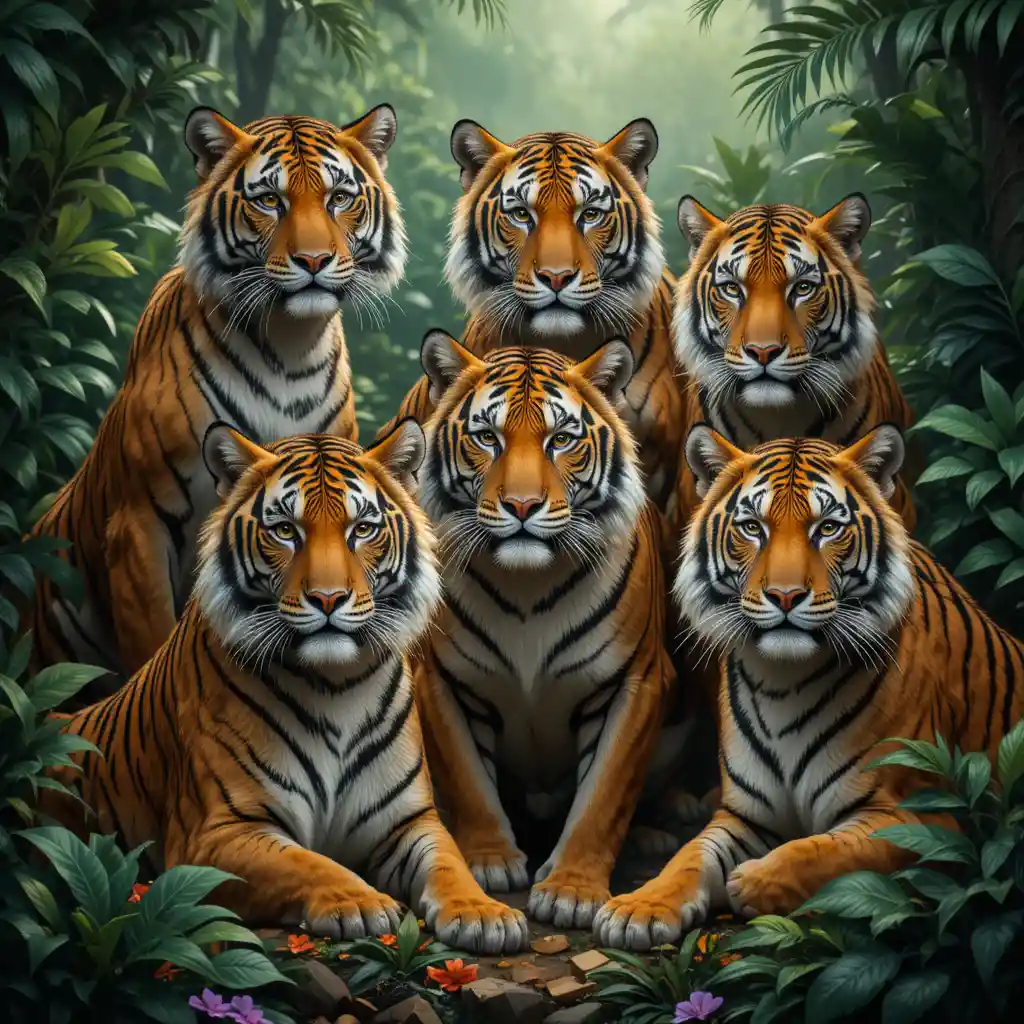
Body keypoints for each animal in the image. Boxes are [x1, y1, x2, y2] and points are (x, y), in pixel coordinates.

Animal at [25, 104, 407, 682]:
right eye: (269, 200)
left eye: (339, 197)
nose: (314, 261)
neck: (290, 345)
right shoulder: (139, 524)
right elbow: (152, 643)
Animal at [41, 421, 528, 953]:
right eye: (285, 531)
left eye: (362, 529)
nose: (328, 599)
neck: (338, 687)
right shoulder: (214, 834)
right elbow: (308, 863)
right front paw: (361, 902)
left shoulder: (409, 820)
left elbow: (450, 863)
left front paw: (484, 913)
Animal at [412, 330, 680, 928]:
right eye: (486, 437)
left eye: (561, 439)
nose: (522, 505)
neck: (527, 590)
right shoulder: (442, 681)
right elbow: (469, 780)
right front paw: (489, 862)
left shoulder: (634, 680)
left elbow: (603, 797)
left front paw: (571, 890)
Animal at [594, 424, 1024, 950]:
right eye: (752, 527)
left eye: (828, 529)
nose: (785, 596)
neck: (781, 681)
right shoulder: (745, 814)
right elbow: (690, 856)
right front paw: (639, 907)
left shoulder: (930, 817)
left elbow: (831, 850)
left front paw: (753, 881)